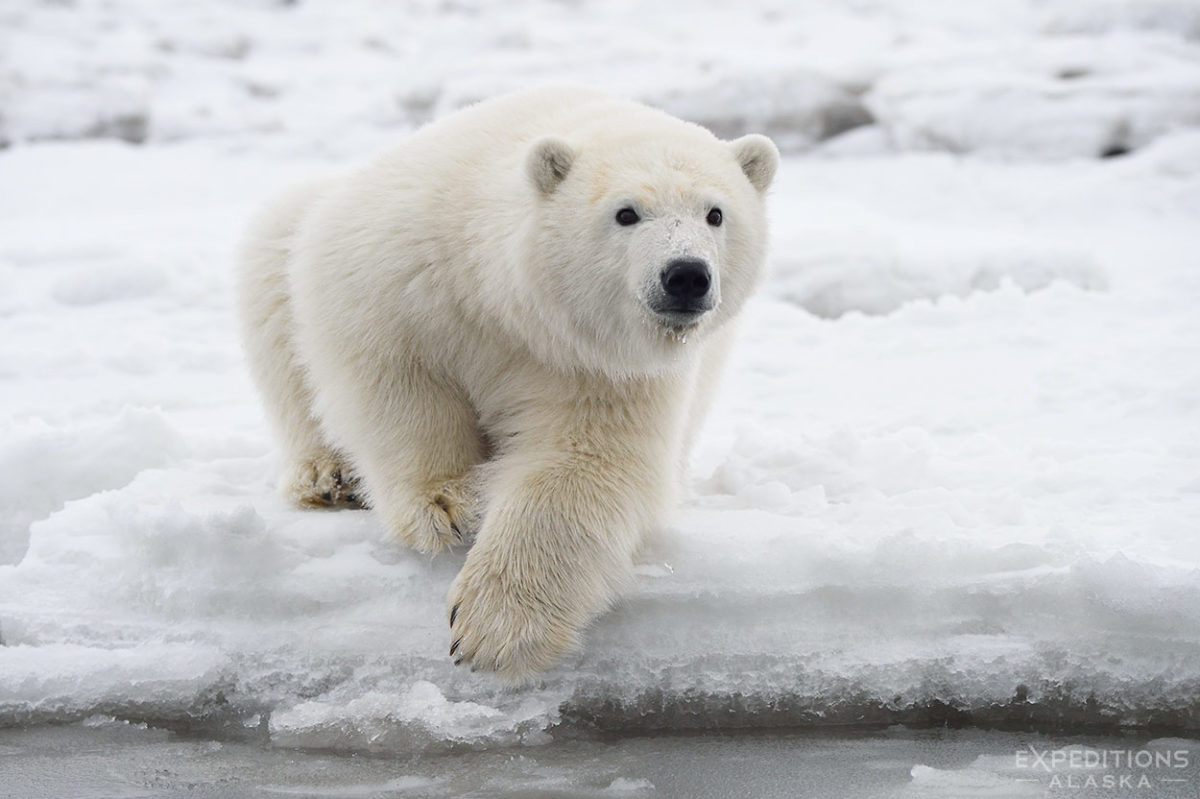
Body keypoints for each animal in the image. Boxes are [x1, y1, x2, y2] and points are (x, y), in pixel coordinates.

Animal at [236, 86, 777, 676]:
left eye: (716, 213)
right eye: (626, 212)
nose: (686, 275)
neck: (511, 305)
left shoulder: (603, 369)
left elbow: (585, 464)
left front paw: (493, 626)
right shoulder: (406, 270)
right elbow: (393, 377)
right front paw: (446, 504)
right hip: (297, 231)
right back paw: (326, 476)